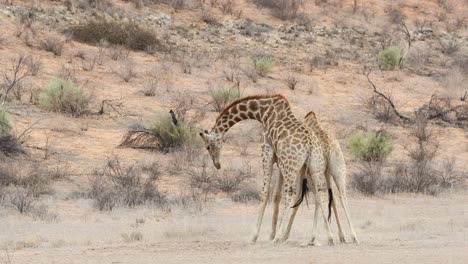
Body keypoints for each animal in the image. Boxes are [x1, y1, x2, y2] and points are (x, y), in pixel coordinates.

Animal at [199, 94, 334, 244]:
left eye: (208, 147)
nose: (217, 164)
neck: (262, 112)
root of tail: (310, 144)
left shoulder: (267, 151)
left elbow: (265, 192)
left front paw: (255, 236)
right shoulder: (279, 159)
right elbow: (276, 195)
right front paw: (271, 234)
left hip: (291, 166)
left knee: (291, 193)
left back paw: (280, 236)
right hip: (313, 167)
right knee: (319, 194)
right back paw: (326, 237)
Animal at [266, 110, 358, 244]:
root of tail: (327, 146)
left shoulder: (303, 171)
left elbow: (293, 197)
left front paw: (282, 235)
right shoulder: (326, 173)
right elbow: (333, 199)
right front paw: (342, 237)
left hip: (314, 172)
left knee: (317, 197)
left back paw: (316, 237)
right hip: (338, 170)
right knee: (342, 197)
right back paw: (353, 237)